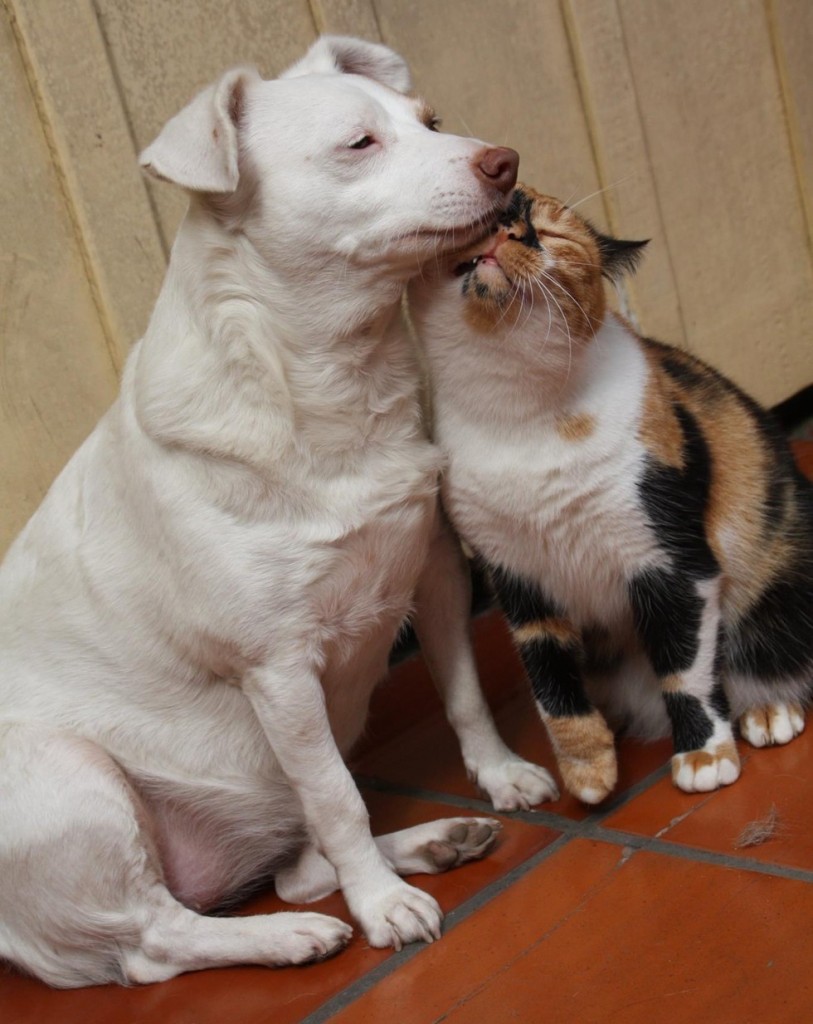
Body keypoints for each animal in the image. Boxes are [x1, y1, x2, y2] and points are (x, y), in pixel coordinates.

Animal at [0, 36, 557, 987]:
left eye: (431, 122)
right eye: (359, 143)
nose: (504, 162)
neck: (331, 385)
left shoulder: (436, 576)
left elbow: (464, 697)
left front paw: (500, 773)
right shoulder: (279, 671)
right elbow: (335, 798)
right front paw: (381, 909)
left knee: (297, 870)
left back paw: (431, 841)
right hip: (73, 780)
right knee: (157, 941)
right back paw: (294, 935)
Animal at [411, 186, 810, 806]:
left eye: (551, 230)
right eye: (492, 216)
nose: (509, 227)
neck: (520, 411)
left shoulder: (671, 560)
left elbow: (685, 666)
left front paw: (704, 755)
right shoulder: (515, 575)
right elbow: (548, 680)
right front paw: (586, 769)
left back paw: (768, 710)